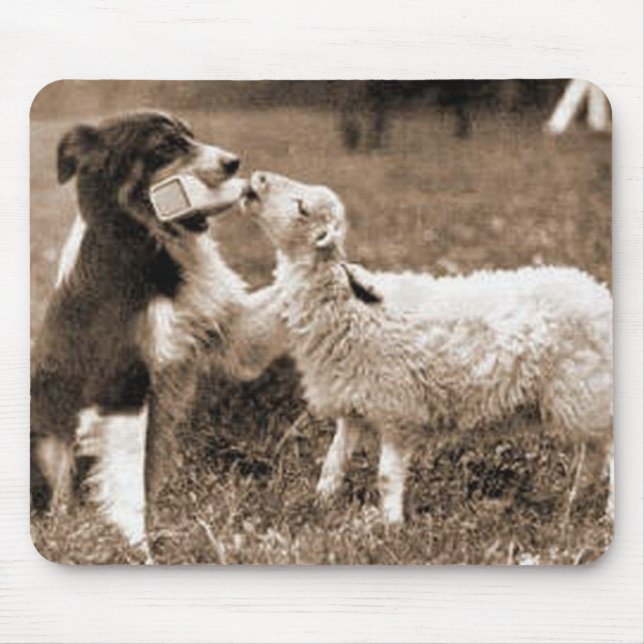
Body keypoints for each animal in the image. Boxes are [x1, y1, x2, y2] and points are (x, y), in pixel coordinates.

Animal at [241, 171, 613, 524]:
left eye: (302, 207)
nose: (257, 178)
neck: (350, 304)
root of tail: (598, 293)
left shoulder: (396, 407)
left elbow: (386, 476)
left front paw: (390, 525)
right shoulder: (354, 405)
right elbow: (332, 465)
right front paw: (319, 507)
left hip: (585, 391)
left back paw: (605, 514)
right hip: (585, 399)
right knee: (593, 452)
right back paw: (573, 503)